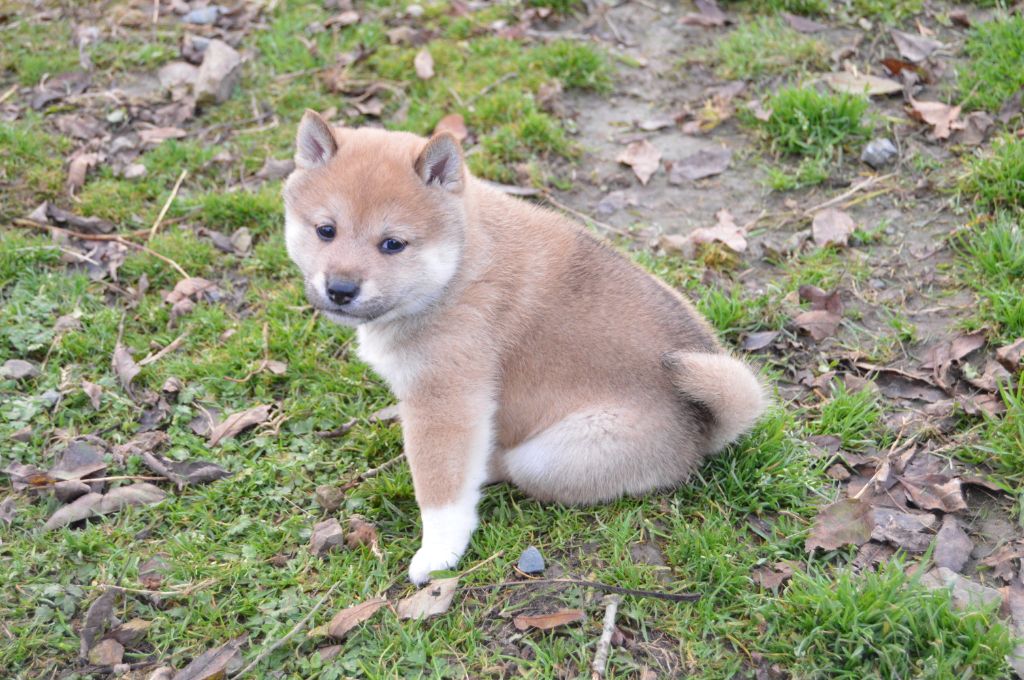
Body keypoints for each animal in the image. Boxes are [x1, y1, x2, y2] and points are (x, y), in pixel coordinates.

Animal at [284, 111, 765, 585]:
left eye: (393, 244)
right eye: (326, 230)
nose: (341, 289)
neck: (460, 269)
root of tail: (701, 425)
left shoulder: (444, 401)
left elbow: (440, 491)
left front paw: (437, 554)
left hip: (552, 454)